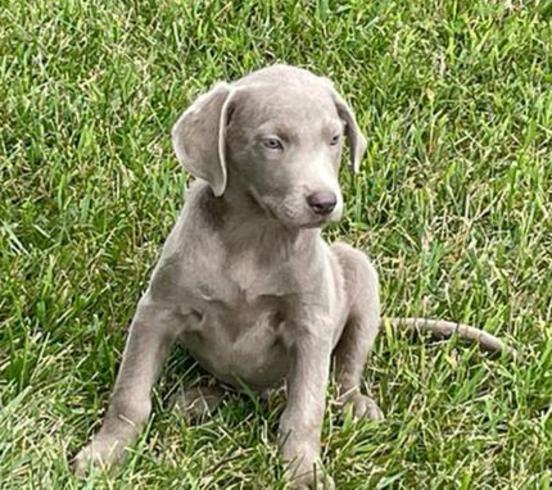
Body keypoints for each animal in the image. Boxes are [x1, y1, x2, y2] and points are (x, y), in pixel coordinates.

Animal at [74, 64, 512, 486]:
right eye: (273, 143)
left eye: (334, 139)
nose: (325, 201)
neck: (254, 236)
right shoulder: (158, 309)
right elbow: (130, 394)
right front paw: (104, 454)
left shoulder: (310, 325)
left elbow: (305, 411)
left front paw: (304, 472)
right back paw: (197, 398)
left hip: (359, 271)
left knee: (345, 371)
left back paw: (356, 404)